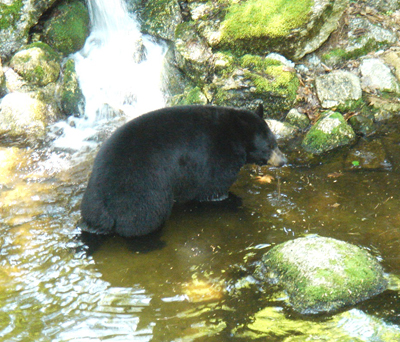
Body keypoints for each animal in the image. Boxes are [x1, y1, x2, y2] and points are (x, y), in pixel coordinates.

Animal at [80, 105, 284, 236]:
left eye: (275, 142)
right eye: (270, 145)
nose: (283, 160)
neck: (233, 137)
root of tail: (105, 207)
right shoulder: (214, 157)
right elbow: (213, 188)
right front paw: (232, 200)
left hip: (92, 202)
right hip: (141, 193)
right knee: (145, 221)